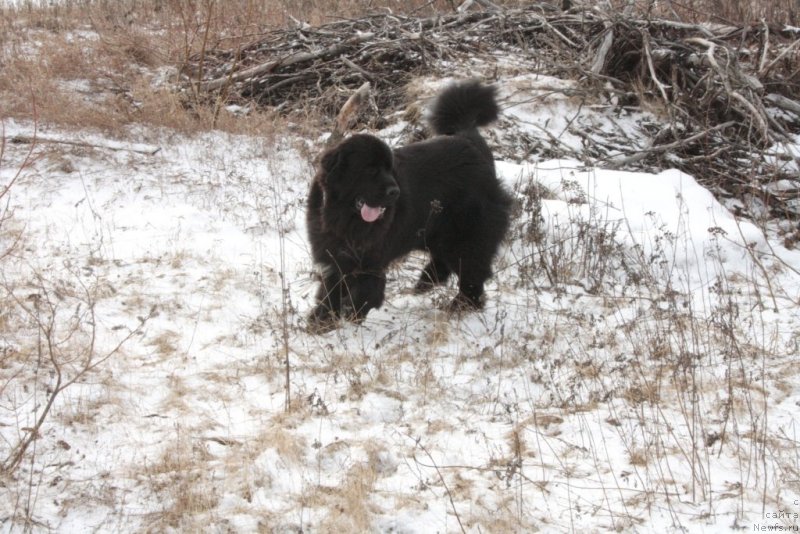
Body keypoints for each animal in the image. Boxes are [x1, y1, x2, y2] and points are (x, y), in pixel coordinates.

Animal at [306, 81, 512, 332]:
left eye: (389, 168)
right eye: (370, 170)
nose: (395, 192)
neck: (343, 215)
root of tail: (470, 138)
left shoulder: (370, 262)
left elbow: (366, 290)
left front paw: (351, 316)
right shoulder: (335, 256)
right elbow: (331, 290)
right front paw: (321, 321)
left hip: (467, 232)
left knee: (472, 269)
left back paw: (461, 304)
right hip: (437, 231)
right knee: (445, 260)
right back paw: (425, 283)